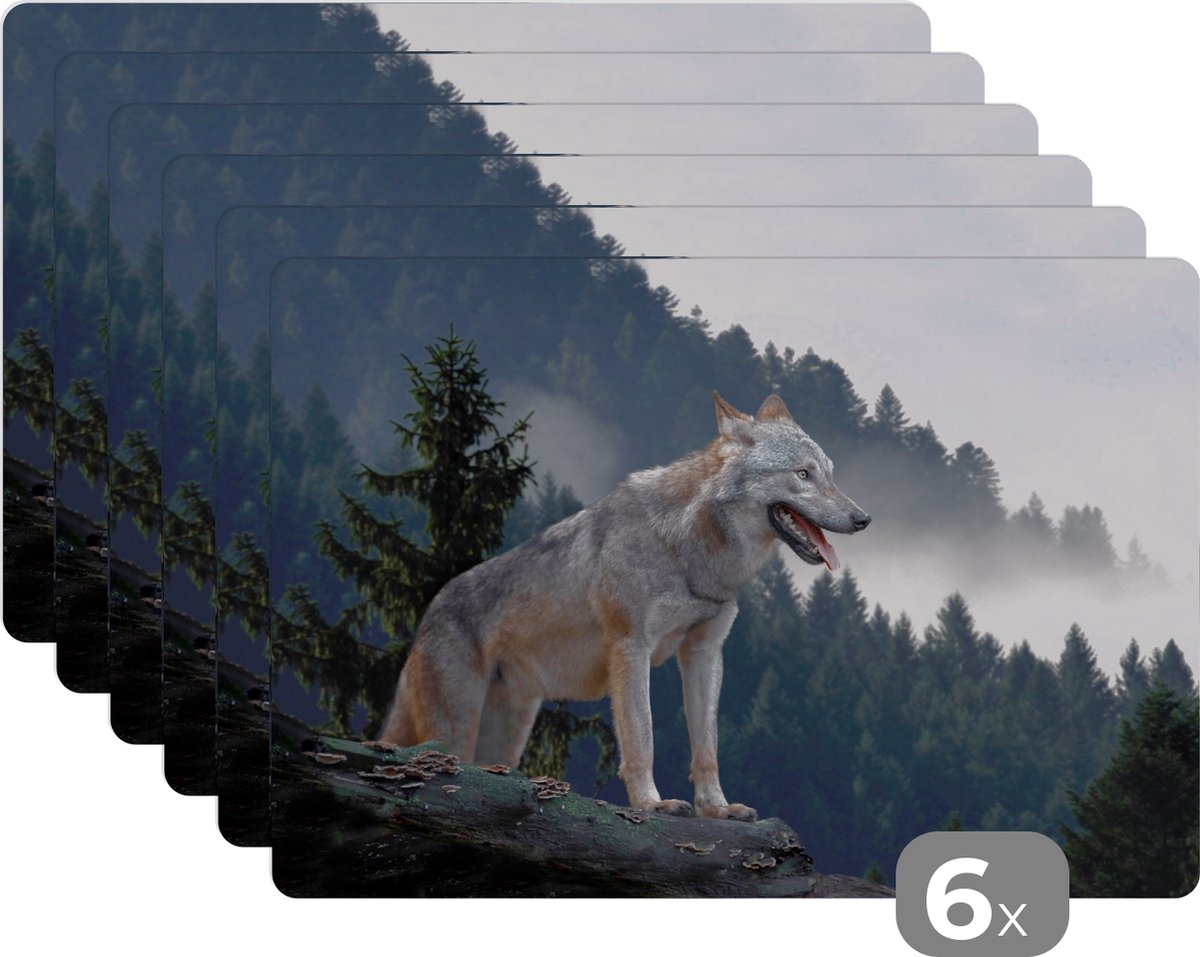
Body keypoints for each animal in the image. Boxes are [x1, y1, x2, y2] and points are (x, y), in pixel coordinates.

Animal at [379, 392, 870, 820]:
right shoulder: (631, 648)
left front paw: (717, 809)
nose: (863, 518)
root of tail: (428, 613)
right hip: (455, 731)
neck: (689, 551)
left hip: (505, 738)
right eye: (802, 474)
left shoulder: (705, 653)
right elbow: (642, 739)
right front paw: (651, 804)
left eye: (830, 473)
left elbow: (706, 748)